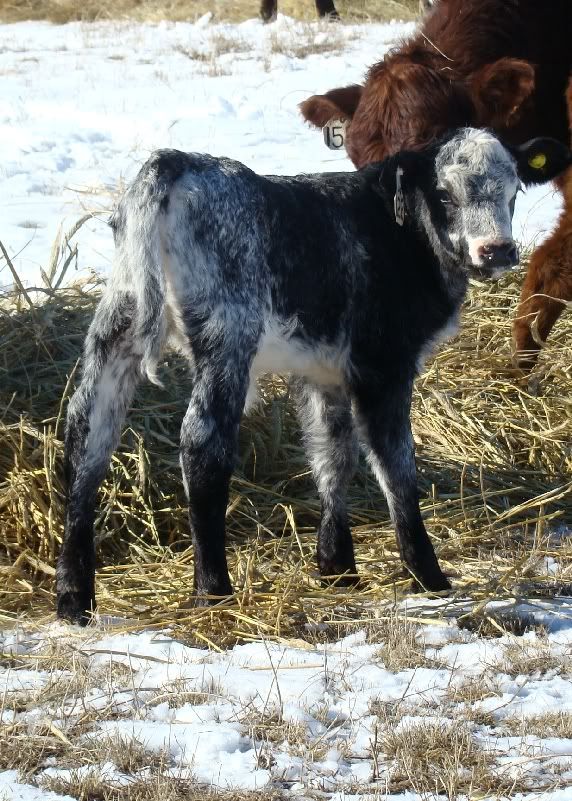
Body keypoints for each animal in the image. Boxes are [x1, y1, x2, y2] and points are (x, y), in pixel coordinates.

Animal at [55, 130, 571, 625]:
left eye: (514, 189)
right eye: (444, 194)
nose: (497, 250)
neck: (402, 235)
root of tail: (176, 160)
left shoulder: (323, 371)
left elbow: (332, 454)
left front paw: (337, 568)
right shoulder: (383, 365)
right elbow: (395, 465)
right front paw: (429, 577)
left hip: (117, 325)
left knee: (87, 437)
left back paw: (74, 598)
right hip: (227, 338)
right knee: (202, 445)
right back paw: (213, 591)